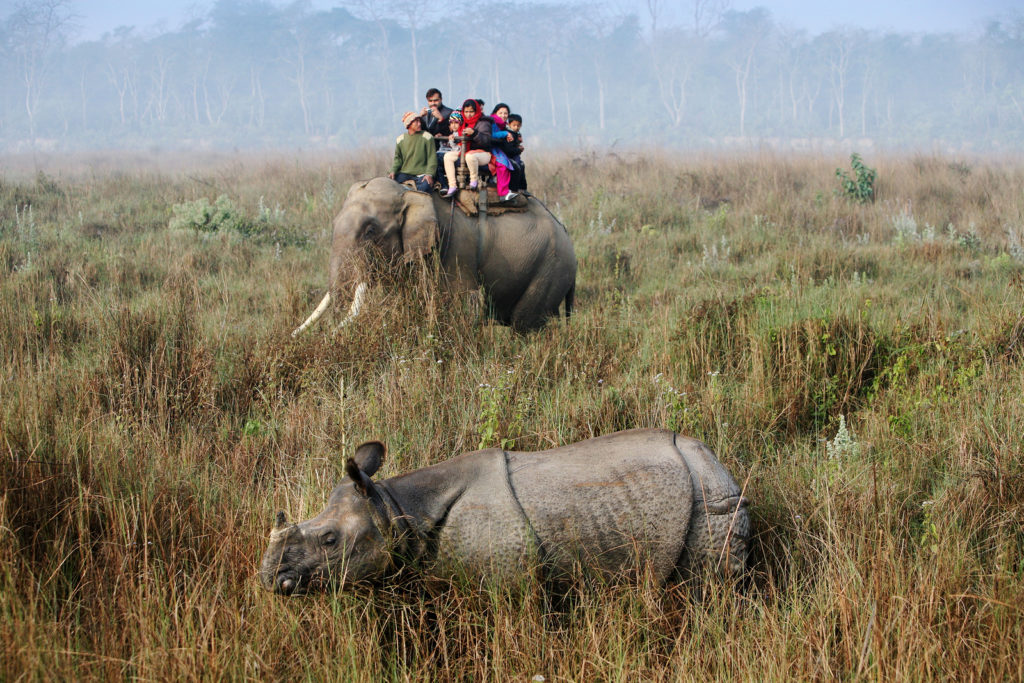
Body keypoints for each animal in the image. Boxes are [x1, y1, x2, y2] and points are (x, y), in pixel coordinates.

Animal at [292, 178, 577, 335]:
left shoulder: (455, 247)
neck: (411, 192)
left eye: (370, 230)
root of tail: (566, 232)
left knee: (525, 325)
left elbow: (461, 305)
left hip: (550, 268)